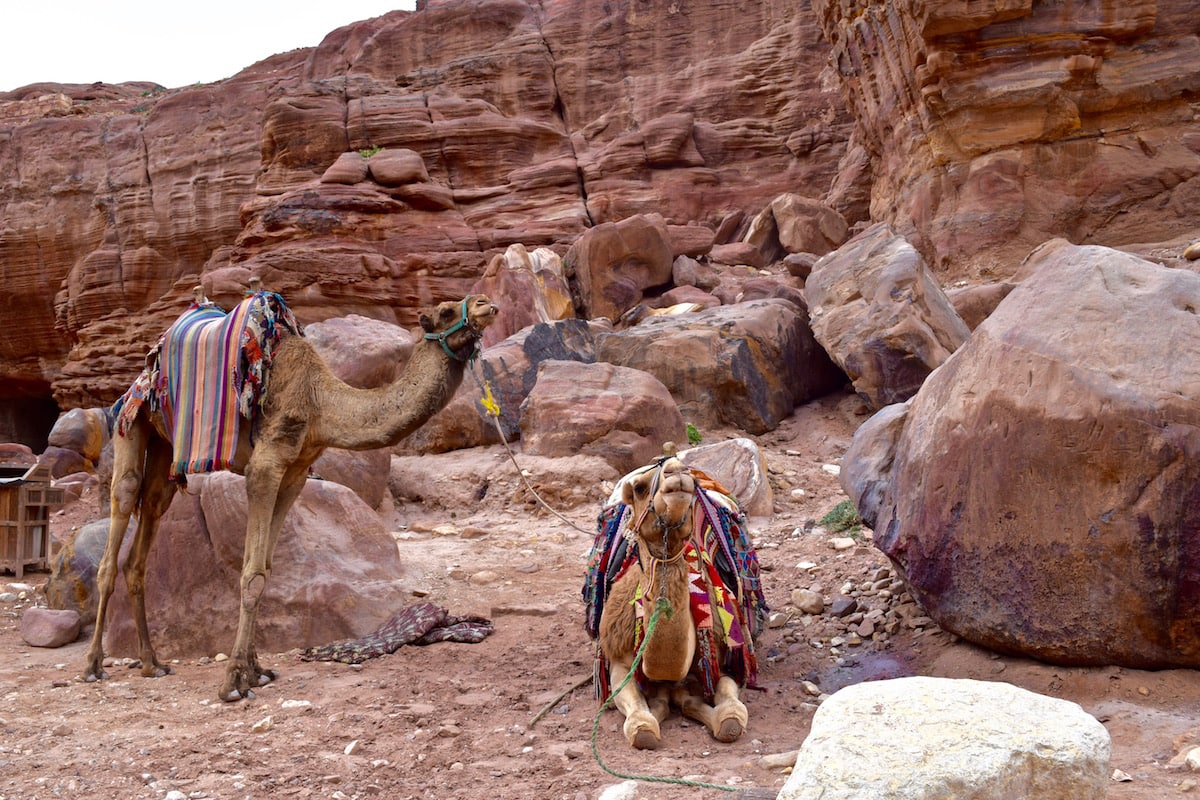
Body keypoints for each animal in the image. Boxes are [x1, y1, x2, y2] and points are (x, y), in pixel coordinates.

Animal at [83, 287, 496, 700]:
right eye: (445, 311)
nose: (485, 303)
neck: (320, 403)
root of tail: (142, 375)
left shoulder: (296, 473)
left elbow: (265, 570)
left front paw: (256, 671)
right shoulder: (265, 465)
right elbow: (251, 574)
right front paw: (234, 681)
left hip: (166, 449)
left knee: (147, 524)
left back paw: (152, 663)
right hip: (131, 422)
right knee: (119, 515)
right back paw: (93, 665)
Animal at [583, 453, 768, 748]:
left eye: (689, 482)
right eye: (640, 488)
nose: (676, 471)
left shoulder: (724, 655)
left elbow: (730, 714)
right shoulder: (619, 660)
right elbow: (641, 718)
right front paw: (649, 720)